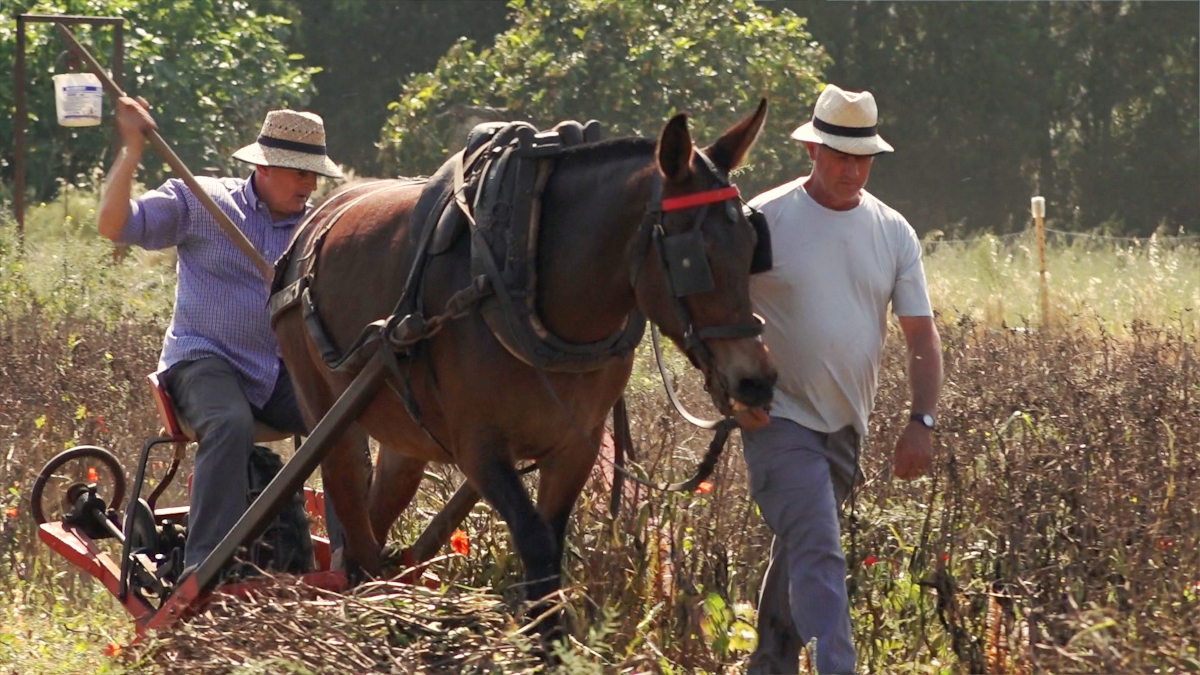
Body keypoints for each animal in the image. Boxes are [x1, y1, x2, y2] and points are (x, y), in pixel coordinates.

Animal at [273, 102, 777, 607]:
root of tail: (308, 228)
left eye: (754, 246)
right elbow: (534, 541)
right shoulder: (478, 446)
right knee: (348, 505)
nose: (757, 380)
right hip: (324, 405)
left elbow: (552, 545)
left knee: (379, 510)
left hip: (403, 430)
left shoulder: (577, 444)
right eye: (692, 257)